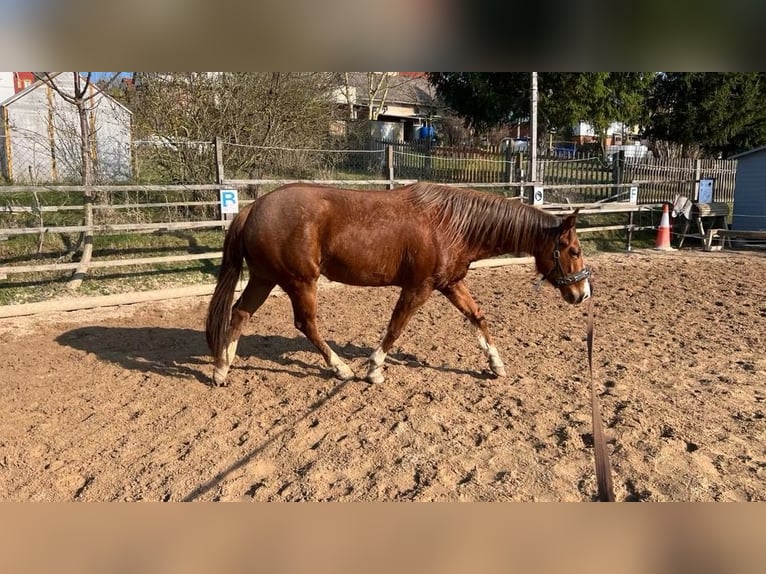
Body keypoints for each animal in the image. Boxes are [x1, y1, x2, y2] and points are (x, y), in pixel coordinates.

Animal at [205, 181, 591, 386]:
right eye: (573, 249)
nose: (581, 293)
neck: (452, 224)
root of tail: (252, 209)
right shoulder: (418, 288)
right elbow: (396, 326)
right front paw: (374, 369)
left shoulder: (451, 284)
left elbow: (478, 318)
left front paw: (496, 365)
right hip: (299, 282)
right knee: (306, 324)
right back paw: (341, 368)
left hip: (265, 278)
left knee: (239, 313)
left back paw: (222, 367)